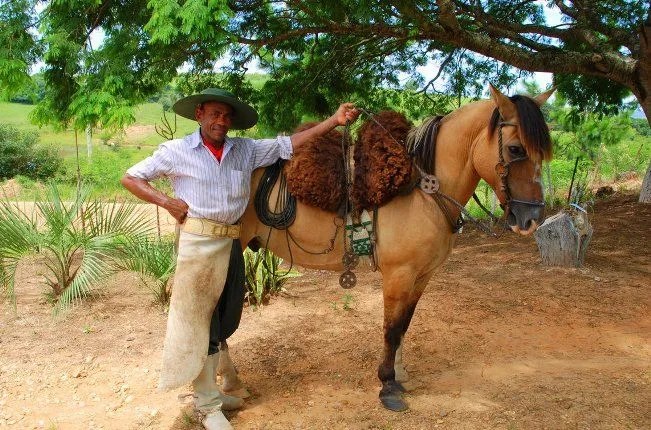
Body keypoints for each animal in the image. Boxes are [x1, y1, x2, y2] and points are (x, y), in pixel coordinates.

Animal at [227, 83, 552, 410]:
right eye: (515, 149)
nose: (531, 219)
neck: (422, 191)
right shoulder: (399, 274)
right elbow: (391, 329)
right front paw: (388, 385)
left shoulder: (421, 275)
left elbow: (404, 325)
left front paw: (399, 373)